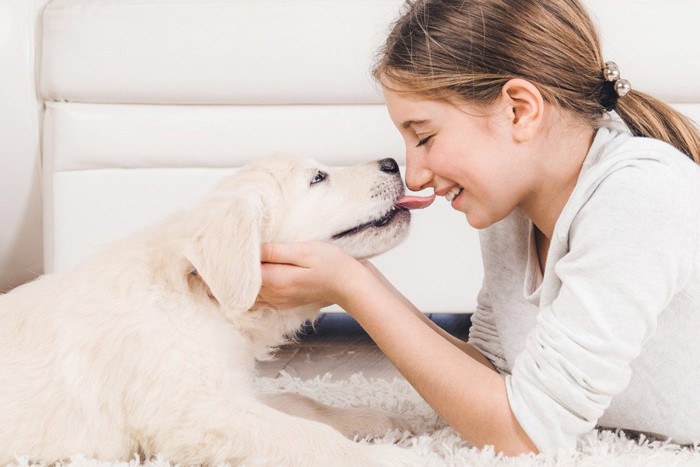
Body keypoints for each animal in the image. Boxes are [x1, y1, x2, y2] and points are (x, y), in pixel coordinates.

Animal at [0, 156, 432, 464]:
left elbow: (300, 402)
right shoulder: (202, 415)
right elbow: (310, 437)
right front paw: (388, 457)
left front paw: (372, 421)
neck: (205, 300)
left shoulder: (229, 390)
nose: (392, 162)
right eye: (318, 178)